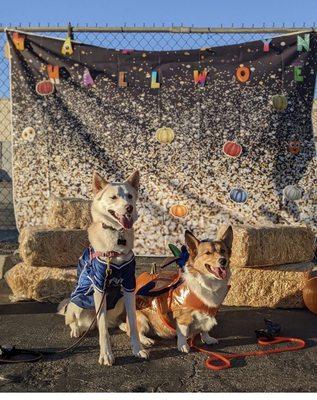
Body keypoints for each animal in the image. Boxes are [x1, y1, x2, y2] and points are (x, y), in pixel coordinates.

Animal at [58, 170, 148, 364]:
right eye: (113, 197)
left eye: (130, 196)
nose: (129, 208)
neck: (117, 238)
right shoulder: (99, 286)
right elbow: (103, 331)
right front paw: (106, 354)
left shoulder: (129, 286)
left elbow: (133, 322)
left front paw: (138, 348)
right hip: (76, 304)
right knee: (76, 321)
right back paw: (76, 330)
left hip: (119, 300)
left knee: (116, 323)